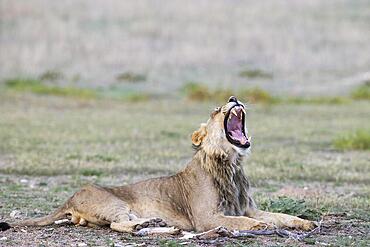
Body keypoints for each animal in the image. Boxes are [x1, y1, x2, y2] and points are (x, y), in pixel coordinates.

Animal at [0, 96, 316, 233]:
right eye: (216, 109)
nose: (233, 97)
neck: (232, 165)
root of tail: (69, 197)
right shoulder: (207, 218)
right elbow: (245, 221)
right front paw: (261, 226)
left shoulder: (246, 207)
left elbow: (280, 215)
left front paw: (305, 223)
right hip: (113, 202)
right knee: (118, 225)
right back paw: (152, 224)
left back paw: (160, 225)